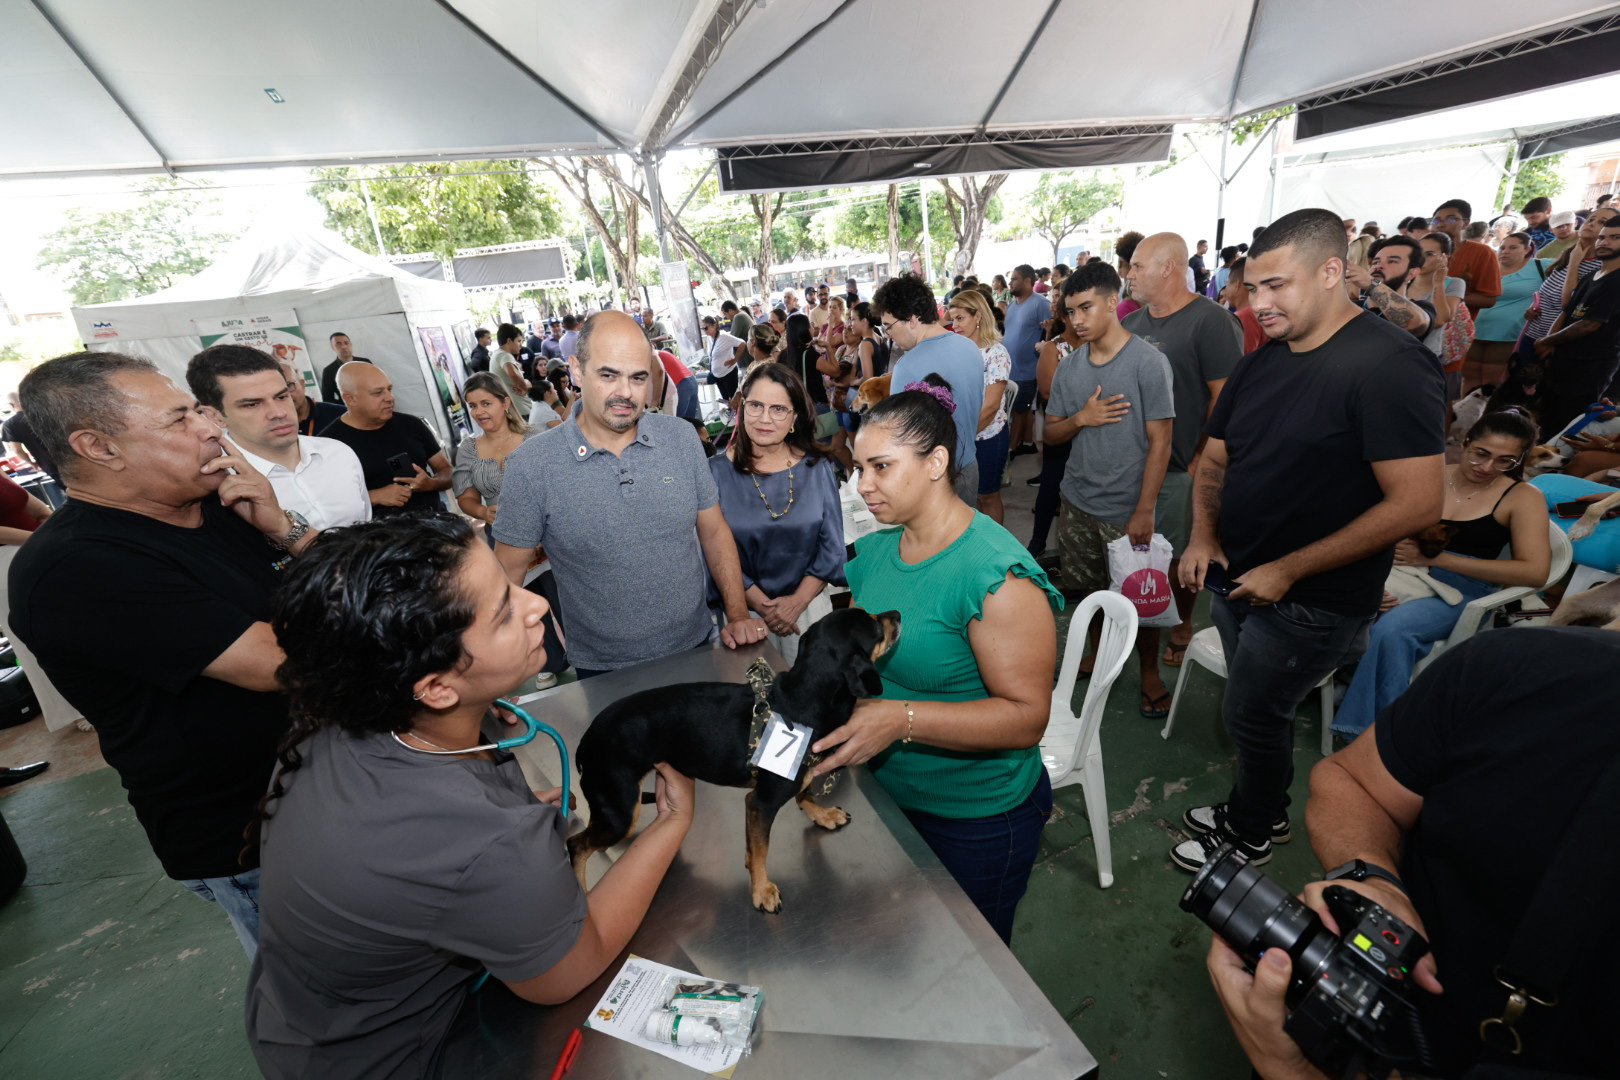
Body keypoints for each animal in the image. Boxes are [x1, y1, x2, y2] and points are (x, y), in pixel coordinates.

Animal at [567, 607, 902, 914]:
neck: (802, 699)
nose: (897, 614)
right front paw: (762, 889)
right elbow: (763, 849)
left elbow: (802, 795)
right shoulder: (761, 803)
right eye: (875, 625)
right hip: (621, 812)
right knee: (576, 845)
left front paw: (823, 815)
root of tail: (585, 741)